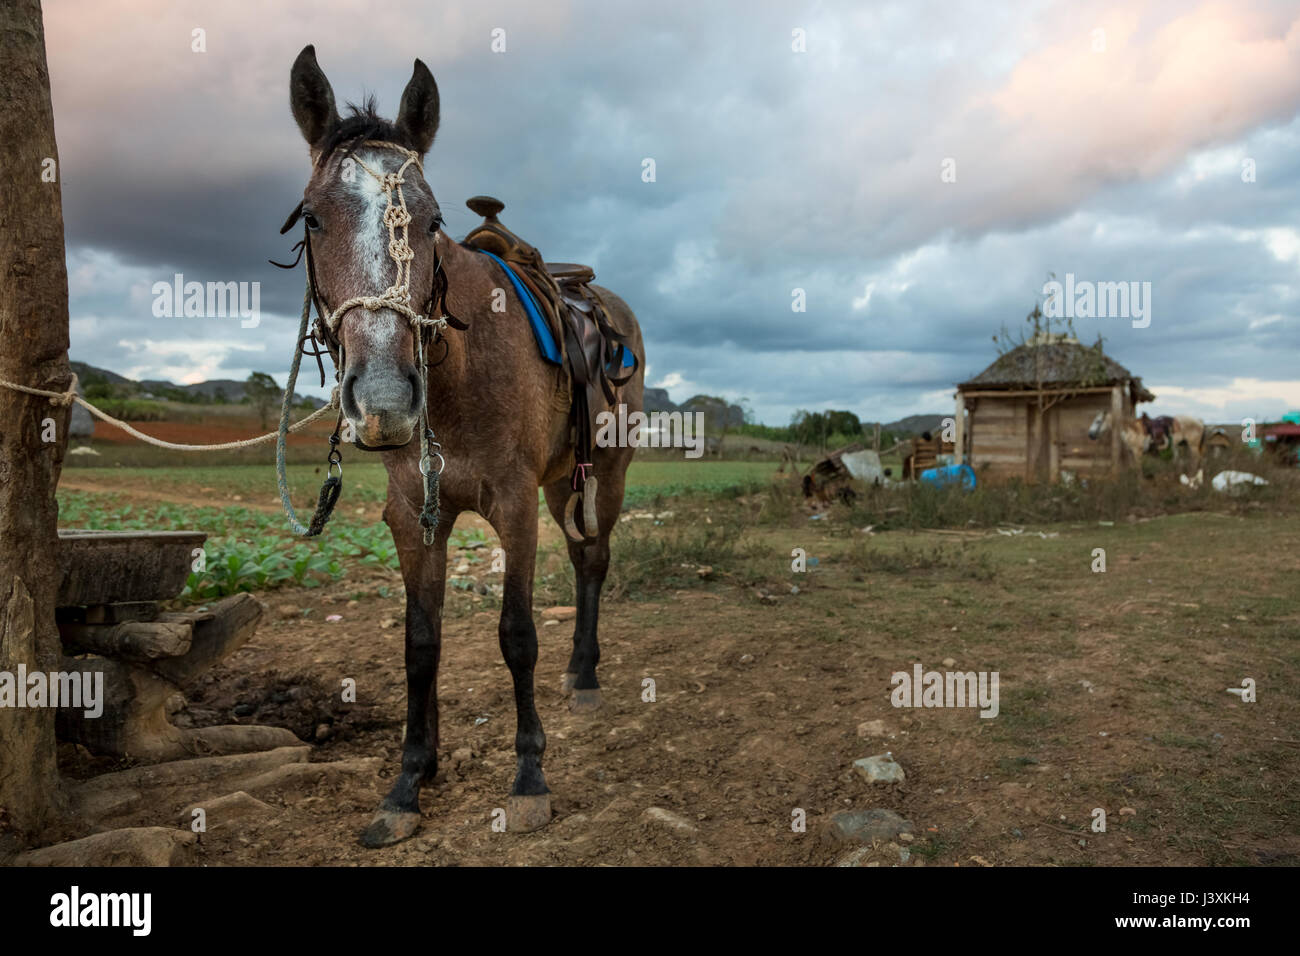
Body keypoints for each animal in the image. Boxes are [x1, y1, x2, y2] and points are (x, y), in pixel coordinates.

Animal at [288, 48, 644, 848]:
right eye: (314, 218)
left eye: (432, 222)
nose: (384, 398)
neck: (457, 373)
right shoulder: (412, 516)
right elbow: (421, 644)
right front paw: (410, 781)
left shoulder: (512, 506)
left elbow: (516, 635)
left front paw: (530, 775)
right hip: (561, 479)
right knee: (582, 554)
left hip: (606, 472)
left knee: (594, 559)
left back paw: (585, 676)